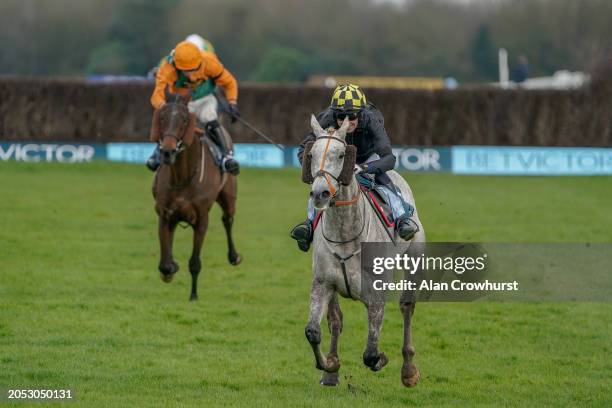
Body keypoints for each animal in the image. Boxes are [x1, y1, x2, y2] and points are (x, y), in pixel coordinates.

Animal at [150, 92, 241, 302]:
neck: (181, 176)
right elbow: (165, 263)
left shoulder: (201, 219)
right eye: (162, 118)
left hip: (228, 196)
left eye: (184, 120)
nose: (167, 151)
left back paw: (234, 256)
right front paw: (171, 268)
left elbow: (195, 262)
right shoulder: (165, 215)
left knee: (228, 219)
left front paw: (193, 295)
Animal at [302, 114, 426, 386]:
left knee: (407, 307)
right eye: (312, 154)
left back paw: (409, 369)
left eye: (341, 154)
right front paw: (330, 367)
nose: (320, 193)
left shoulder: (376, 294)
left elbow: (370, 353)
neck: (346, 235)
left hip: (414, 257)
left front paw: (382, 359)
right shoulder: (324, 282)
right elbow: (316, 329)